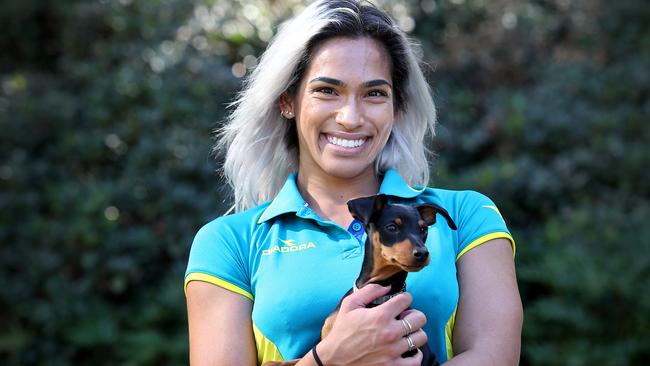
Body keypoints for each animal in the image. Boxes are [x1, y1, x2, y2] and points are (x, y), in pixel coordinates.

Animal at [264, 194, 456, 366]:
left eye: (424, 230)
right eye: (392, 227)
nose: (422, 253)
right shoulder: (325, 341)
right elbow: (290, 361)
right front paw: (274, 363)